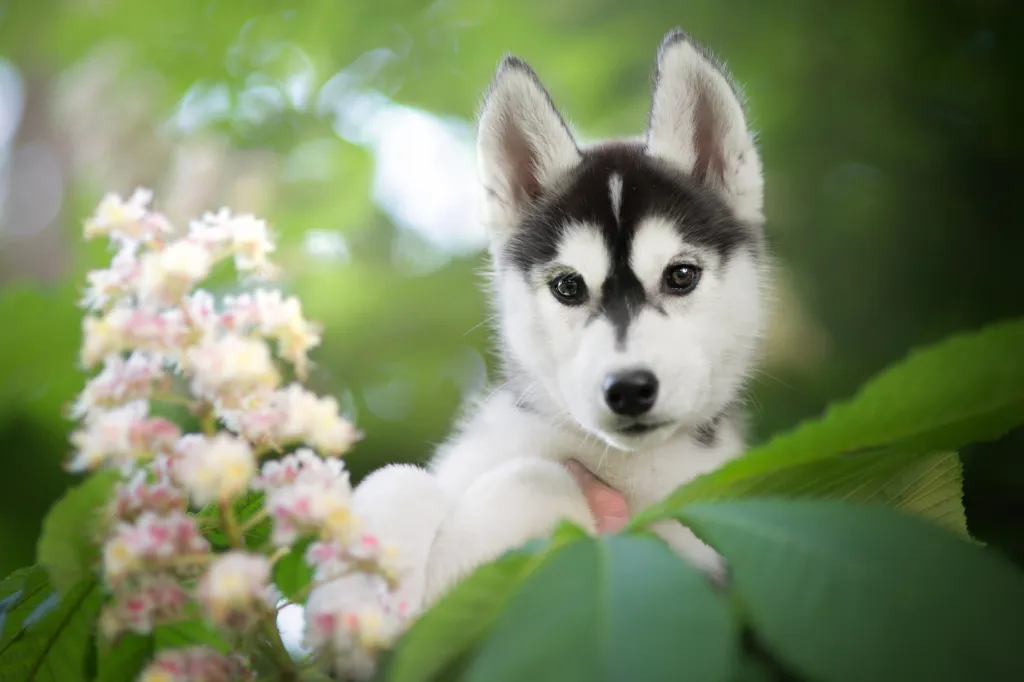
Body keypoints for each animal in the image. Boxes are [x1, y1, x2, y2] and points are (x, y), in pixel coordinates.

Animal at [352, 27, 770, 610]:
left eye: (681, 275)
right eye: (568, 286)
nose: (629, 389)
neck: (613, 461)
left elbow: (533, 479)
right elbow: (397, 481)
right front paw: (359, 595)